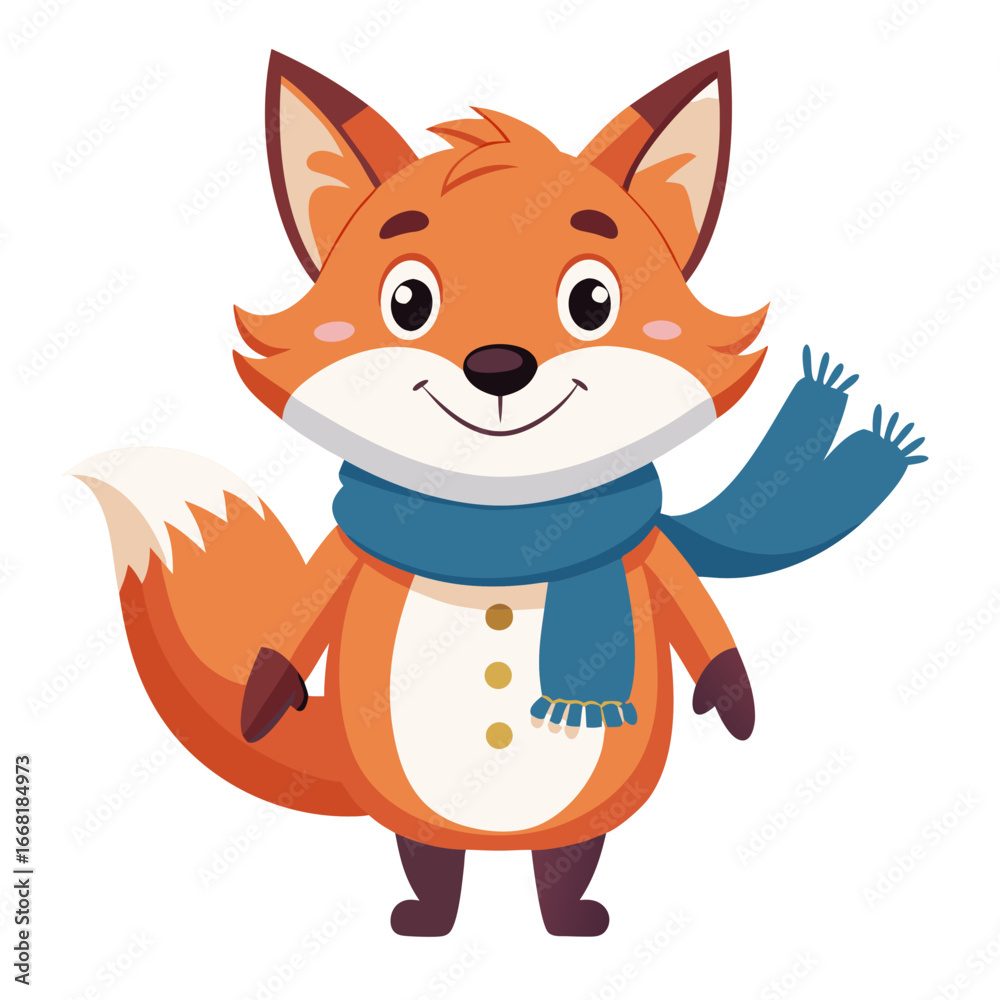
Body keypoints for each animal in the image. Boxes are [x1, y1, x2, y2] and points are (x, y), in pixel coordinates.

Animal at [74, 50, 926, 937]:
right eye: (407, 301)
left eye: (592, 300)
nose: (497, 366)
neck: (501, 515)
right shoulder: (347, 550)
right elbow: (294, 626)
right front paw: (264, 699)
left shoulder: (646, 551)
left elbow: (700, 619)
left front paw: (733, 701)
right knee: (428, 853)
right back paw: (428, 915)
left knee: (565, 856)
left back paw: (569, 916)